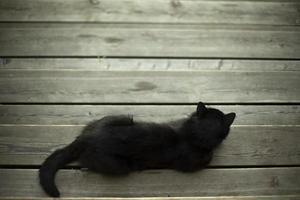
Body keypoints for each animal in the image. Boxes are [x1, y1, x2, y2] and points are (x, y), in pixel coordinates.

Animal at [38, 102, 236, 196]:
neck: (191, 133)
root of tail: (87, 138)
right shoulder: (192, 163)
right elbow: (207, 158)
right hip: (119, 165)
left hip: (122, 117)